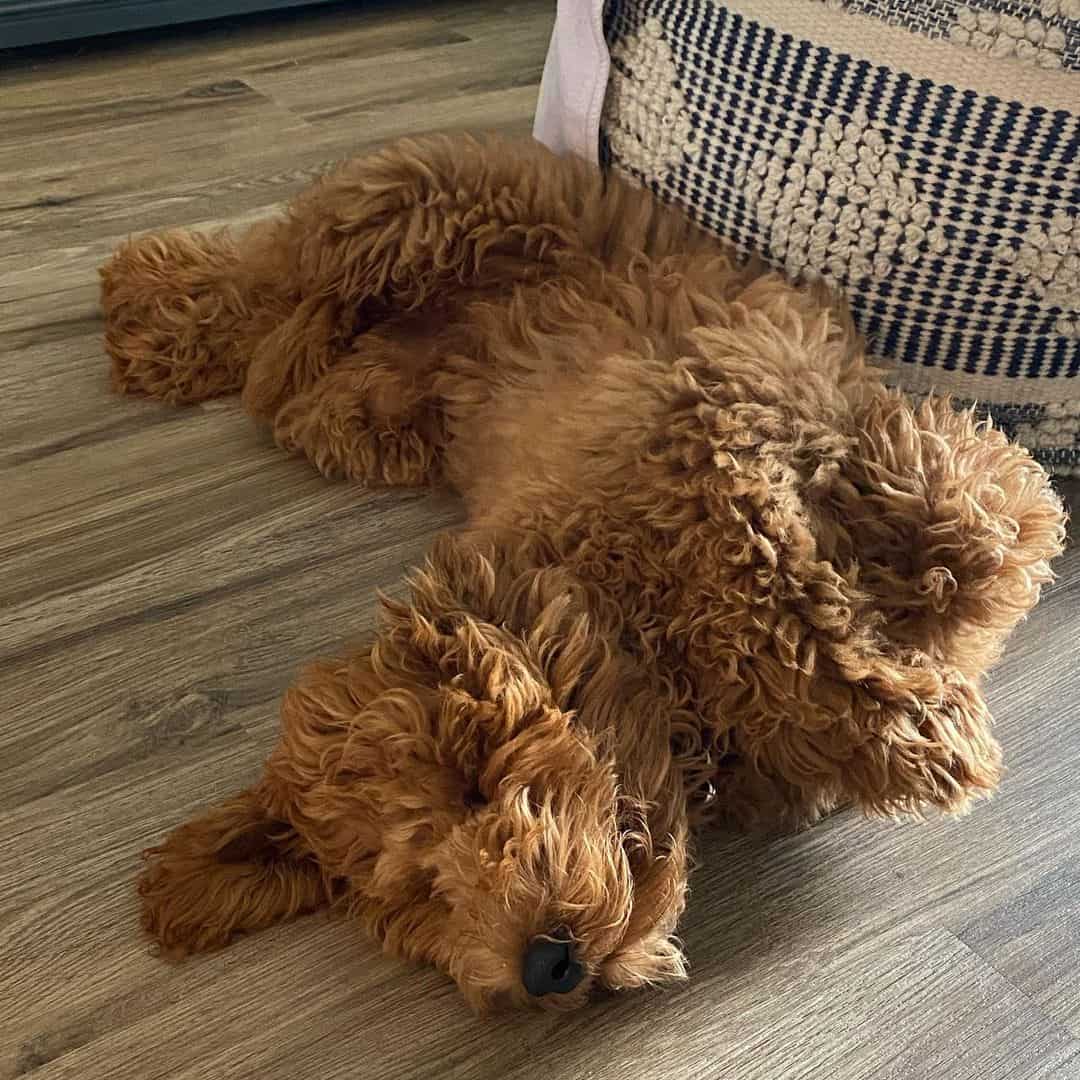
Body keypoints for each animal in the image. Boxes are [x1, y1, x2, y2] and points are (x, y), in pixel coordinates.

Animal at [99, 135, 1062, 1010]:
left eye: (473, 784)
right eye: (424, 892)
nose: (543, 967)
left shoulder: (705, 416)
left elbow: (857, 543)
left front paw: (926, 650)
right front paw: (907, 703)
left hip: (420, 211)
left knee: (271, 275)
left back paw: (139, 303)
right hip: (355, 412)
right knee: (266, 316)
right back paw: (149, 319)